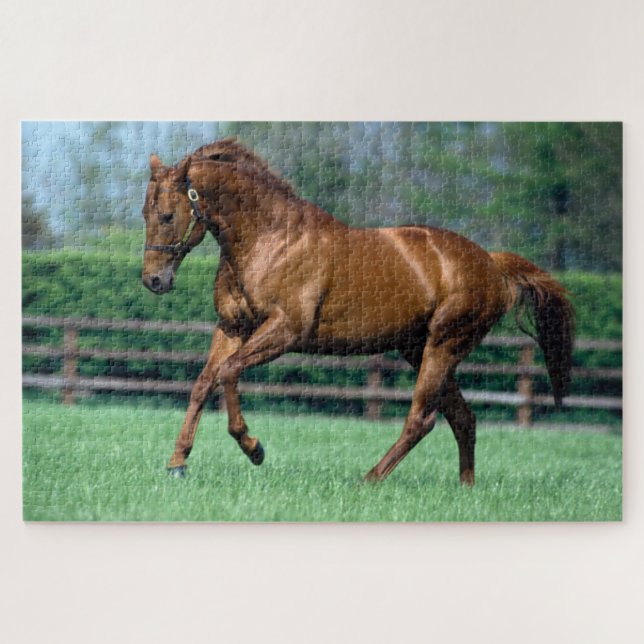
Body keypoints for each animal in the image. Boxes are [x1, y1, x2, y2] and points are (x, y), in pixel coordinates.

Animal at [141, 138, 575, 485]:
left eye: (167, 215)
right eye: (145, 214)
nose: (153, 281)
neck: (269, 239)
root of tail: (492, 264)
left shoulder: (285, 331)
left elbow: (229, 373)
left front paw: (254, 448)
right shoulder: (232, 328)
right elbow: (203, 383)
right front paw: (177, 463)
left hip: (444, 346)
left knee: (422, 419)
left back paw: (369, 480)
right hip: (418, 349)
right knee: (463, 418)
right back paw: (464, 488)